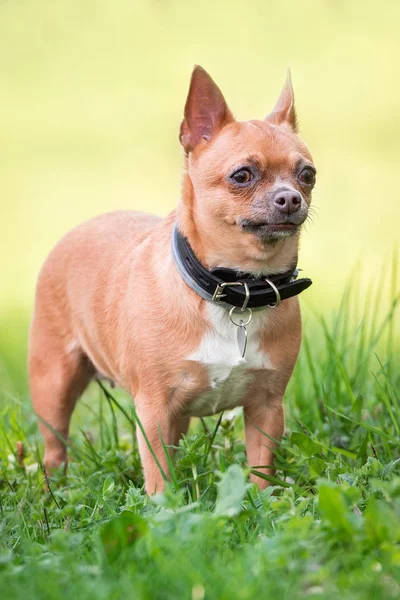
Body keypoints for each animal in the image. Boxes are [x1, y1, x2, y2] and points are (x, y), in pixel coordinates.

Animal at [28, 65, 316, 492]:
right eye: (242, 175)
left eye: (307, 175)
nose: (290, 198)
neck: (237, 288)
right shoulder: (154, 411)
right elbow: (160, 478)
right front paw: (168, 507)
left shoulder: (266, 408)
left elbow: (261, 471)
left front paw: (264, 502)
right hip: (54, 385)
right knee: (54, 447)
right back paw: (55, 490)